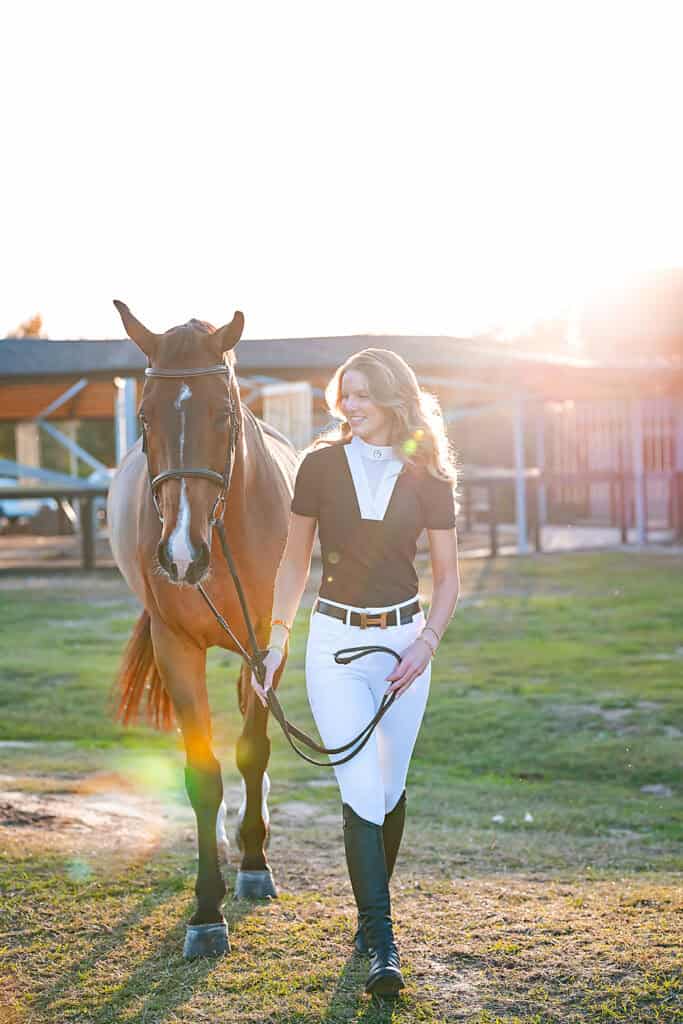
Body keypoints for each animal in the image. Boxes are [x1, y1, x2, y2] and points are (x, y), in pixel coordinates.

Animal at [107, 299, 296, 954]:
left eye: (223, 413)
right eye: (144, 415)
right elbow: (201, 776)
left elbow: (253, 752)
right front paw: (206, 910)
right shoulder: (176, 647)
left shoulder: (265, 641)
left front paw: (254, 866)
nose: (182, 554)